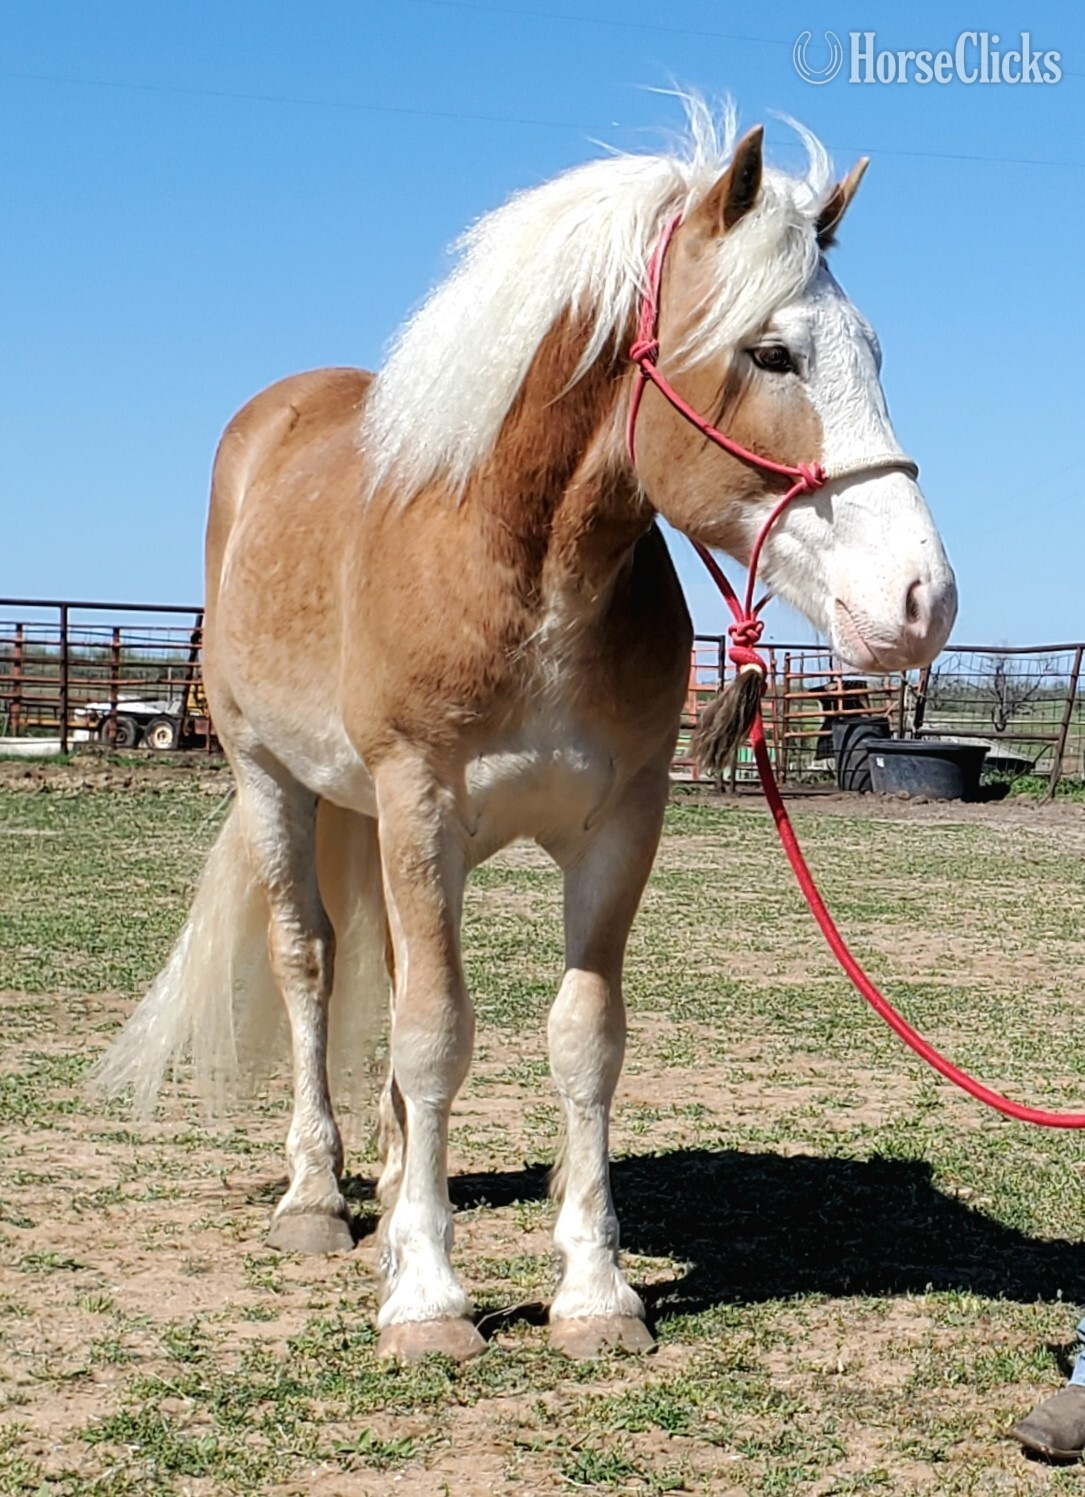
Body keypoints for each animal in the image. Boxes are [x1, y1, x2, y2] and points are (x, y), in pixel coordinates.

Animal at [94, 102, 957, 1363]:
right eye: (771, 353)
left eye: (874, 354)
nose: (918, 601)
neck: (518, 566)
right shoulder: (417, 804)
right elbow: (432, 1032)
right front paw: (425, 1297)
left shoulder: (616, 824)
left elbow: (577, 1039)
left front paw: (592, 1291)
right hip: (273, 783)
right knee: (312, 966)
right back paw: (317, 1197)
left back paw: (395, 1178)